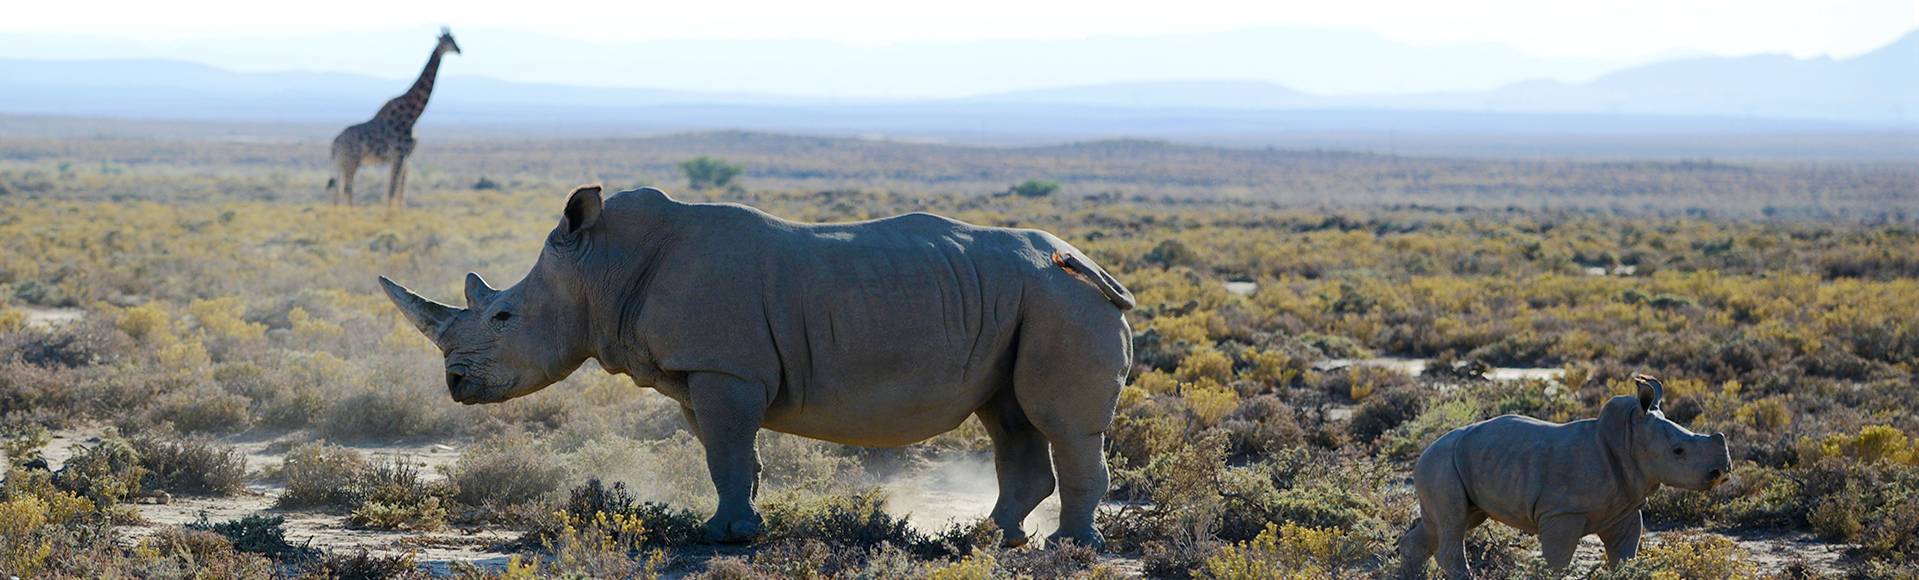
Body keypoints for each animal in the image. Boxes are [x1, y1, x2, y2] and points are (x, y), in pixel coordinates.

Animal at [330, 28, 460, 208]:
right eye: (447, 41)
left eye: (454, 39)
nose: (459, 50)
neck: (413, 115)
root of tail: (335, 143)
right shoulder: (398, 154)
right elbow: (392, 189)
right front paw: (389, 213)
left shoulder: (406, 156)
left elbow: (400, 189)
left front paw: (400, 211)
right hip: (352, 160)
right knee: (347, 187)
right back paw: (350, 211)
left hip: (341, 162)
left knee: (338, 188)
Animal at [379, 187, 1128, 549]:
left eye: (504, 316)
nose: (455, 384)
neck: (601, 266)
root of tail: (1087, 261)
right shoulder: (703, 374)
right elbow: (730, 455)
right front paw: (737, 527)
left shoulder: (724, 370)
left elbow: (727, 453)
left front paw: (724, 538)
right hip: (1028, 302)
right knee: (1008, 417)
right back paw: (993, 538)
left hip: (1062, 300)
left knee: (1059, 421)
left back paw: (1067, 547)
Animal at [1404, 374, 1734, 576]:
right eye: (1678, 451)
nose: (1723, 472)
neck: (1628, 437)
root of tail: (1424, 450)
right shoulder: (1562, 512)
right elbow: (1558, 562)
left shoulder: (1624, 509)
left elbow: (1625, 556)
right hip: (1441, 463)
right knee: (1453, 523)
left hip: (1450, 464)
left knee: (1446, 523)